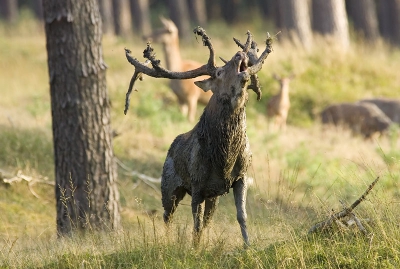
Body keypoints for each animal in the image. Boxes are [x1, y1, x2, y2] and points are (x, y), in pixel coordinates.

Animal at [124, 28, 276, 246]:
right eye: (219, 72)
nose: (240, 54)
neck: (225, 158)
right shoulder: (197, 184)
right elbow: (195, 226)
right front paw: (195, 249)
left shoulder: (241, 177)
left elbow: (241, 216)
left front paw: (248, 246)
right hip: (168, 185)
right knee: (167, 215)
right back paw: (167, 241)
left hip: (214, 195)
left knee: (205, 220)